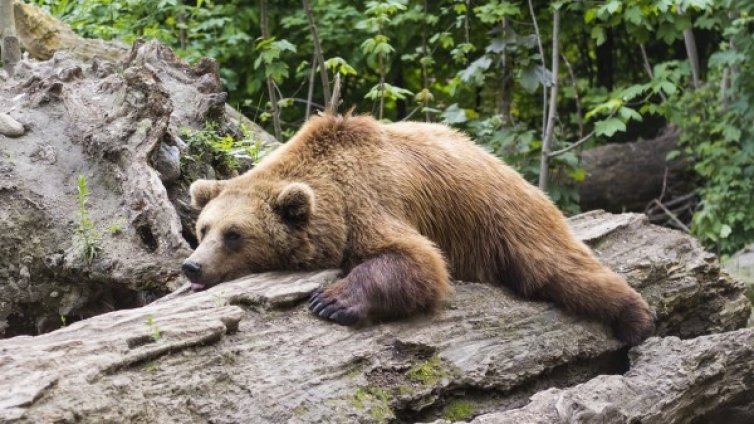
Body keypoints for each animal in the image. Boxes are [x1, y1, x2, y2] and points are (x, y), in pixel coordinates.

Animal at [185, 112, 656, 344]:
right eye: (203, 229)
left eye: (234, 234)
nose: (193, 266)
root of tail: (505, 166)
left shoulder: (370, 203)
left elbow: (417, 260)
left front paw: (332, 301)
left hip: (504, 217)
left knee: (558, 268)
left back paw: (637, 317)